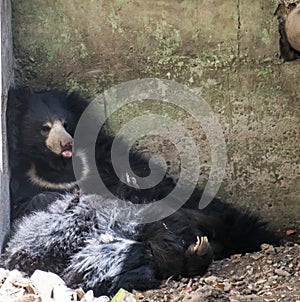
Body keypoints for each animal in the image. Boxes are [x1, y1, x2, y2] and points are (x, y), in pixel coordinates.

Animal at [3, 86, 278, 294]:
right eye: (45, 127)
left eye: (67, 124)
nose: (66, 143)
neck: (57, 168)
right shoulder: (27, 186)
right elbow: (34, 204)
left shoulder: (105, 158)